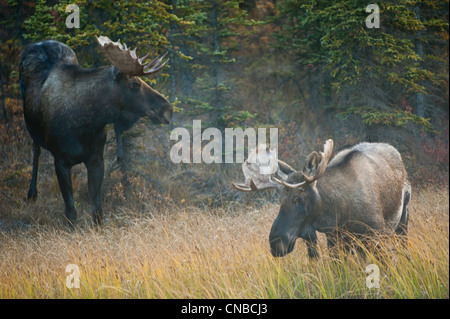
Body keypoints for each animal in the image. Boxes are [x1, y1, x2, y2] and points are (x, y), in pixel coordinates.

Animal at [19, 36, 171, 226]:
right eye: (135, 84)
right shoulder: (60, 161)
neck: (85, 122)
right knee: (36, 150)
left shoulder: (96, 159)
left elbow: (97, 211)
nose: (168, 109)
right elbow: (71, 212)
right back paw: (31, 193)